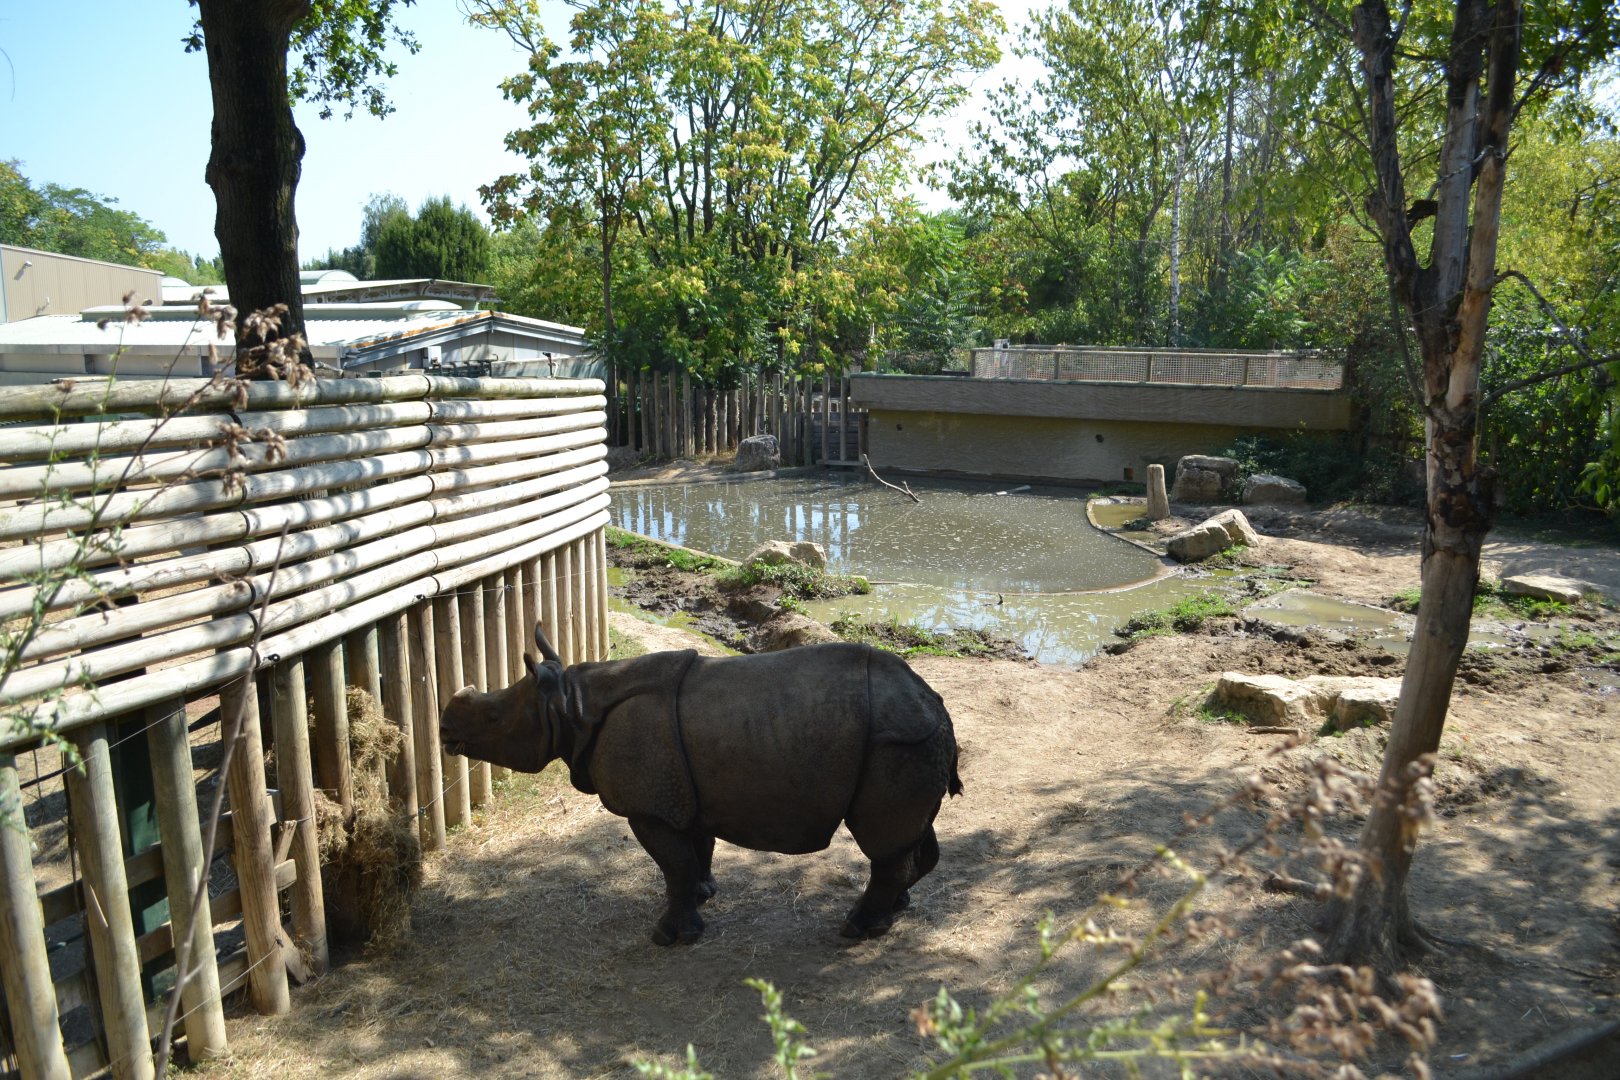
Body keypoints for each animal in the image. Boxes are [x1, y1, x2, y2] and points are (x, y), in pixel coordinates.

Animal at [440, 624, 962, 945]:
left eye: (493, 717)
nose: (445, 730)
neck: (570, 705)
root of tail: (934, 703)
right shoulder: (682, 792)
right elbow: (694, 853)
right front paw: (703, 896)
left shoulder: (649, 808)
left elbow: (675, 866)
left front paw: (669, 938)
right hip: (909, 740)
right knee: (912, 834)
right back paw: (897, 907)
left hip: (896, 739)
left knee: (881, 841)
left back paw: (859, 928)